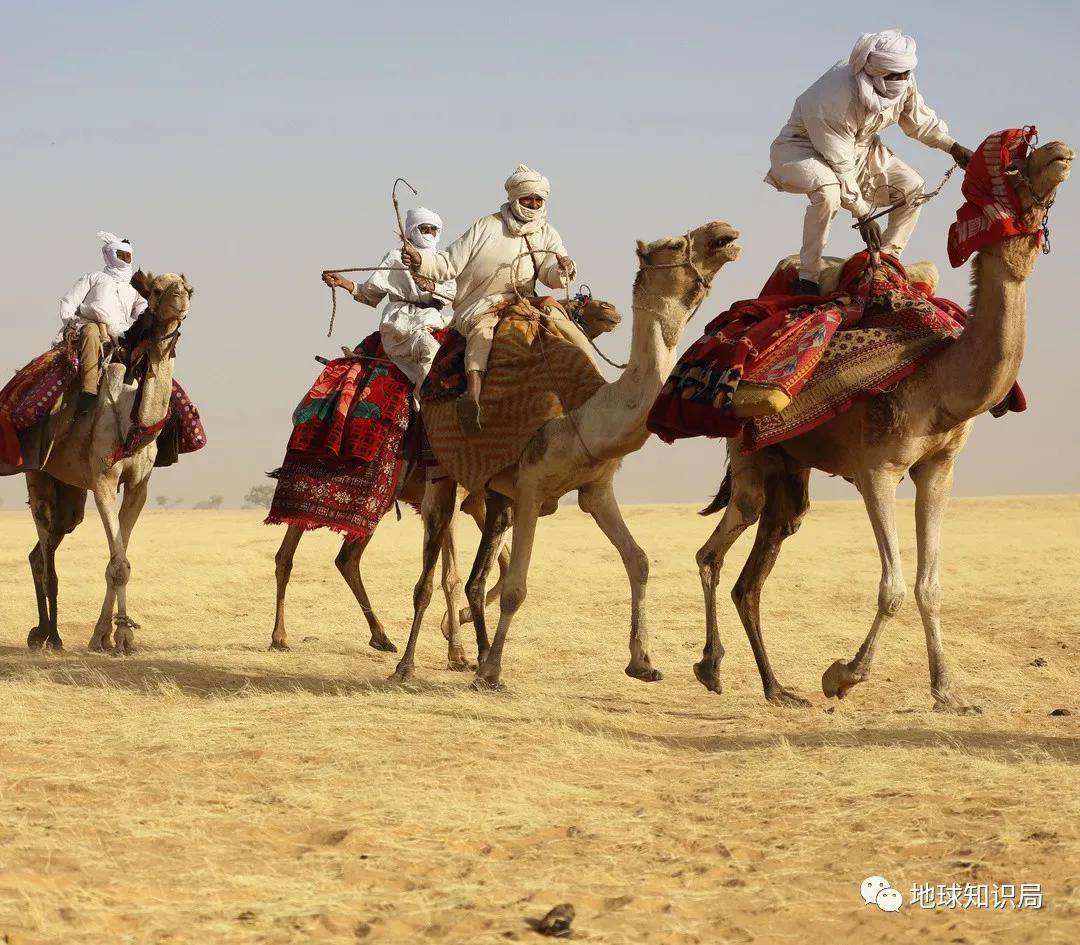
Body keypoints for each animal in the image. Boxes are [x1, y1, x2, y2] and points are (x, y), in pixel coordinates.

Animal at [1, 273, 194, 652]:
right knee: (45, 553)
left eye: (187, 287)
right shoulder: (103, 479)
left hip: (70, 493)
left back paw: (41, 632)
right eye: (156, 289)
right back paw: (51, 635)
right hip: (37, 475)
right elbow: (118, 565)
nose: (179, 296)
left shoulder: (138, 487)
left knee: (41, 550)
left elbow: (118, 558)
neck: (132, 419)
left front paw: (105, 635)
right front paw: (121, 637)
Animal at [267, 295, 626, 665]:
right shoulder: (459, 493)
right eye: (578, 305)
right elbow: (452, 575)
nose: (611, 309)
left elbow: (498, 562)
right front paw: (458, 649)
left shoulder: (475, 499)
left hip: (372, 498)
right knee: (296, 553)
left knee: (337, 557)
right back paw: (282, 635)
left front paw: (458, 631)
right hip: (322, 484)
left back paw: (377, 637)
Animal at [388, 220, 743, 686]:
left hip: (491, 492)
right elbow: (516, 586)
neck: (584, 415)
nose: (725, 232)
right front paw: (493, 671)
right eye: (671, 244)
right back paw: (408, 664)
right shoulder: (532, 488)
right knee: (429, 575)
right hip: (442, 474)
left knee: (471, 575)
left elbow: (638, 560)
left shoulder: (596, 489)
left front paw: (642, 661)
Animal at [691, 138, 1071, 708]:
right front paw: (843, 675)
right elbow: (891, 587)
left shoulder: (939, 468)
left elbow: (929, 586)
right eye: (1015, 164)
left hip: (790, 468)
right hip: (748, 450)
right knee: (717, 547)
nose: (1061, 151)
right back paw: (712, 668)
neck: (942, 380)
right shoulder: (878, 469)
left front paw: (948, 691)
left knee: (756, 567)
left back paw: (777, 689)